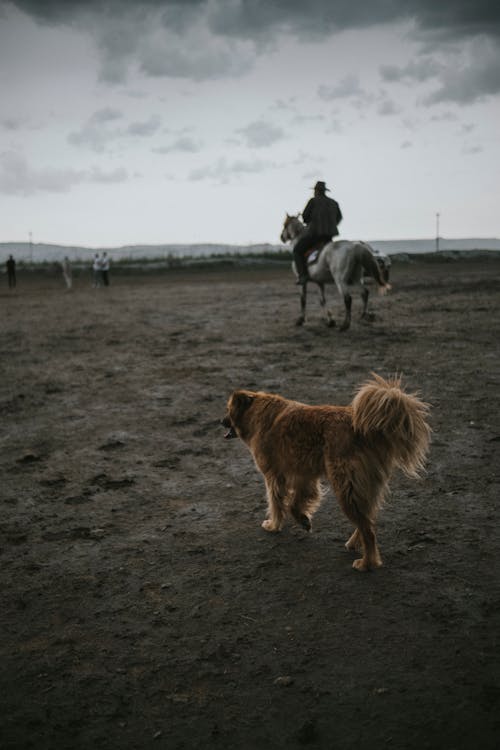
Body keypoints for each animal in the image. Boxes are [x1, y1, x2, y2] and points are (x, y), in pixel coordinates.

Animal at [223, 374, 430, 572]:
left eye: (228, 409)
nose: (220, 421)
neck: (257, 411)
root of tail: (366, 430)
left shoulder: (274, 476)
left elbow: (276, 504)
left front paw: (274, 525)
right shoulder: (303, 477)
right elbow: (294, 504)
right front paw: (303, 520)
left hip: (346, 488)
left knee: (368, 530)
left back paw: (367, 563)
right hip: (364, 488)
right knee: (368, 519)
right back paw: (354, 544)